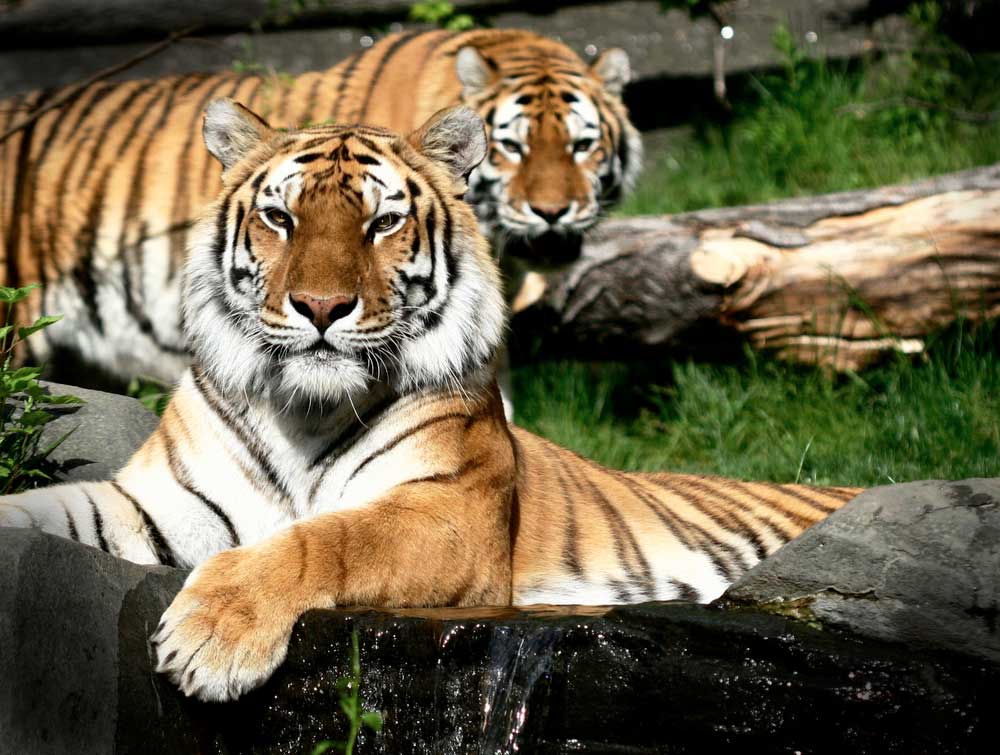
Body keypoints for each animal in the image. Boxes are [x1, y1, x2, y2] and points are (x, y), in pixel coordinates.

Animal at [0, 100, 859, 703]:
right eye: (280, 217)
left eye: (383, 222)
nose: (320, 306)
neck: (301, 410)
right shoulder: (150, 504)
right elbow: (48, 510)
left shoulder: (448, 513)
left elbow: (327, 536)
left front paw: (213, 634)